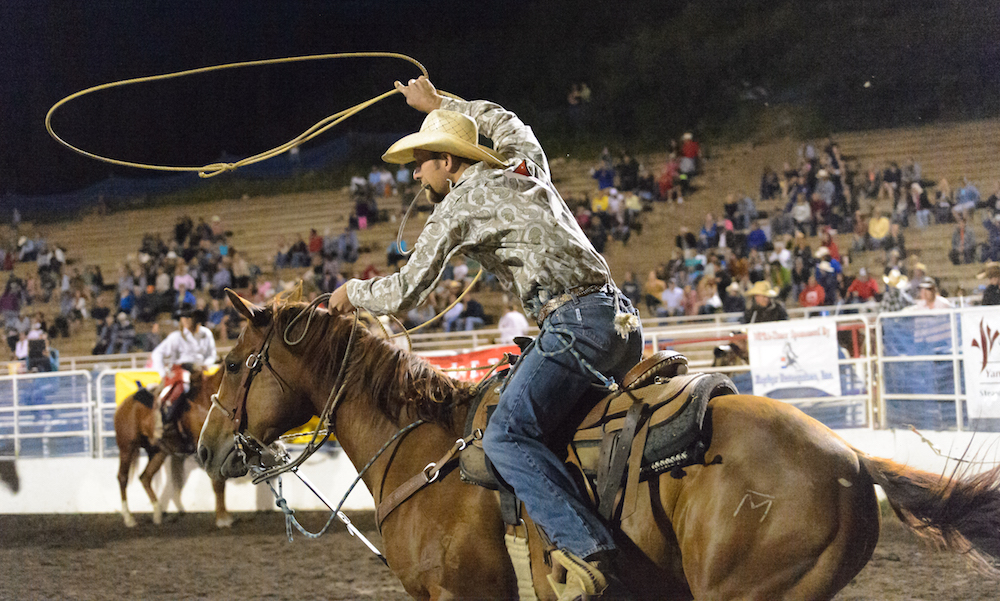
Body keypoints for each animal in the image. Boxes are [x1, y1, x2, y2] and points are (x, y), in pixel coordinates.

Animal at [117, 368, 232, 528]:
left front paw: (224, 516)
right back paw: (129, 518)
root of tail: (124, 405)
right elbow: (217, 482)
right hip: (127, 447)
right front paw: (222, 519)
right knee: (123, 478)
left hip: (159, 452)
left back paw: (158, 514)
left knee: (145, 477)